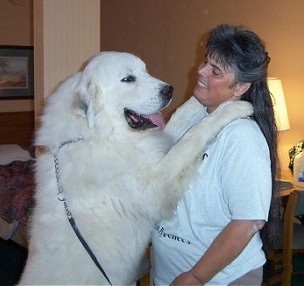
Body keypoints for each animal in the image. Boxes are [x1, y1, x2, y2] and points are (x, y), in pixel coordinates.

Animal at [18, 52, 252, 286]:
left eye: (145, 71)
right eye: (128, 79)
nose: (169, 90)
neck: (97, 135)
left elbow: (182, 119)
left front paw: (198, 96)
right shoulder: (156, 186)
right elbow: (194, 134)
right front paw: (233, 108)